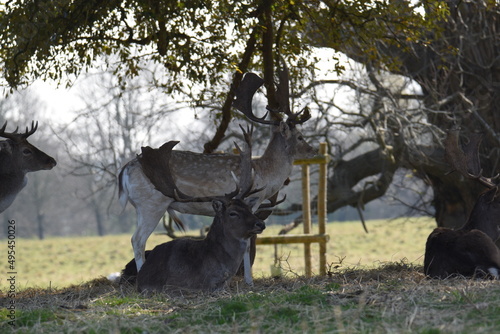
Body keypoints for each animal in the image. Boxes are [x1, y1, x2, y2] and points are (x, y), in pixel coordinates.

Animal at [118, 66, 316, 286]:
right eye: (300, 137)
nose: (314, 150)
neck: (264, 172)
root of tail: (125, 170)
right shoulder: (251, 201)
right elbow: (247, 241)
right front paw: (249, 281)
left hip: (140, 206)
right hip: (152, 204)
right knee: (138, 239)